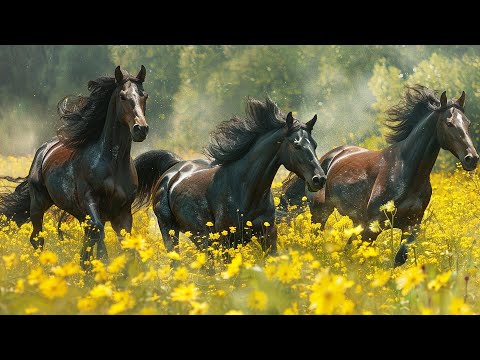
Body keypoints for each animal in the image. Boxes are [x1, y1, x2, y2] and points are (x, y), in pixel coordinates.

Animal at [0, 66, 150, 268]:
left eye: (144, 96)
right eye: (122, 96)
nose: (140, 129)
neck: (114, 163)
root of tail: (44, 150)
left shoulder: (123, 213)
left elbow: (126, 247)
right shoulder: (90, 202)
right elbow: (98, 232)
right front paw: (103, 263)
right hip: (38, 204)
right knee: (37, 238)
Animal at [132, 97, 326, 258]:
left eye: (315, 144)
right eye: (296, 145)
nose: (319, 179)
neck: (245, 190)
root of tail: (174, 167)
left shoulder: (268, 236)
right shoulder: (227, 241)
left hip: (201, 239)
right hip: (170, 231)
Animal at [280, 86, 478, 268]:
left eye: (468, 124)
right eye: (449, 123)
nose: (472, 158)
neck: (407, 172)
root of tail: (325, 159)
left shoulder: (411, 227)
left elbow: (398, 259)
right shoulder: (373, 226)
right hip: (320, 213)